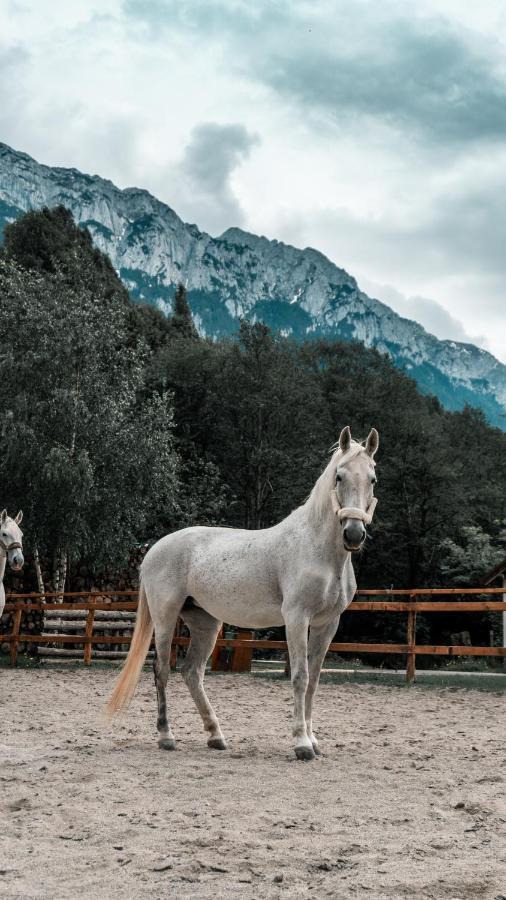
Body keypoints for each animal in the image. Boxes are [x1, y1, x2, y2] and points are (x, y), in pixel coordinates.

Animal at [106, 428, 378, 760]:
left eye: (372, 478)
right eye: (339, 476)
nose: (354, 534)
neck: (318, 549)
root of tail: (153, 550)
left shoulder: (328, 623)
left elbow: (314, 680)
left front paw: (314, 741)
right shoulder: (296, 618)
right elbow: (300, 677)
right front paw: (301, 743)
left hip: (205, 623)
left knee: (192, 672)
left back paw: (216, 736)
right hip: (165, 618)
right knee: (161, 670)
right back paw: (166, 737)